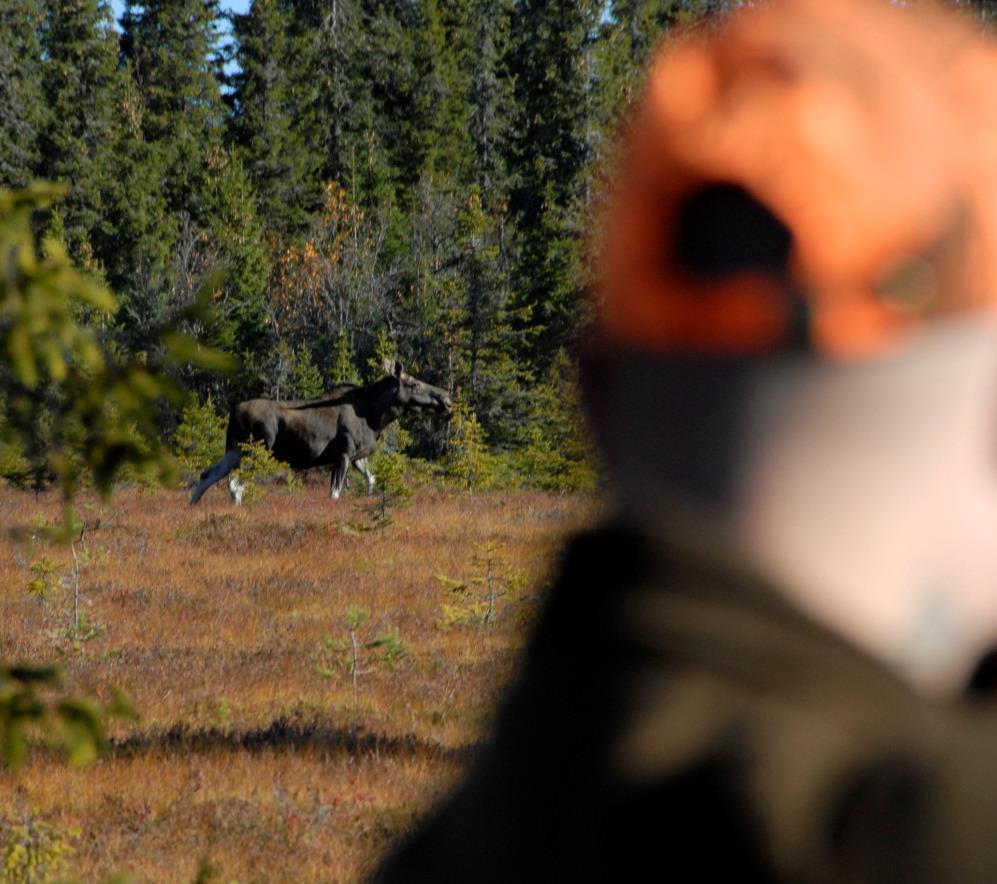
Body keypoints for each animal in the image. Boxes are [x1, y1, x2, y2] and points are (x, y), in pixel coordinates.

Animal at [190, 360, 452, 504]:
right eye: (414, 383)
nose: (446, 398)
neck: (377, 417)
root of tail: (233, 412)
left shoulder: (357, 457)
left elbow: (371, 480)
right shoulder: (343, 453)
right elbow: (335, 493)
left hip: (234, 451)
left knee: (207, 475)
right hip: (257, 451)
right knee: (235, 485)